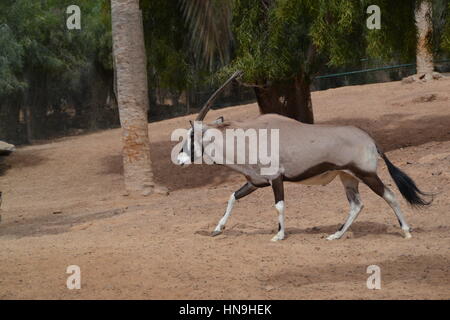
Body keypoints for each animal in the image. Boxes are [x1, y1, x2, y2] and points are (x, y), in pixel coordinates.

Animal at [175, 71, 428, 241]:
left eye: (191, 135)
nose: (178, 160)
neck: (248, 139)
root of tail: (370, 140)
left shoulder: (276, 179)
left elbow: (279, 205)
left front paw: (279, 235)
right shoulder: (256, 182)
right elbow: (232, 197)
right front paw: (217, 229)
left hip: (366, 174)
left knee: (389, 195)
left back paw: (406, 231)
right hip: (347, 177)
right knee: (357, 205)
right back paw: (335, 235)